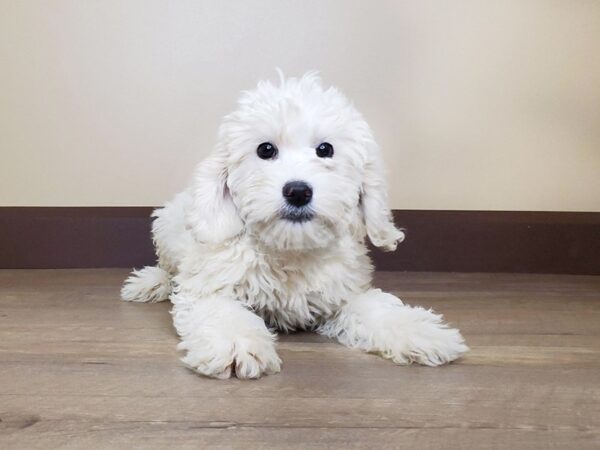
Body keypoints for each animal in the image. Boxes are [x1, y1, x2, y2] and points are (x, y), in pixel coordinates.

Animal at [122, 72, 468, 378]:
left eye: (325, 149)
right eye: (265, 149)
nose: (298, 191)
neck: (289, 248)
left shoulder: (343, 293)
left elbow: (376, 308)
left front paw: (420, 332)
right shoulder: (209, 287)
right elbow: (221, 311)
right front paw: (235, 344)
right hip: (166, 228)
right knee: (170, 270)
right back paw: (151, 282)